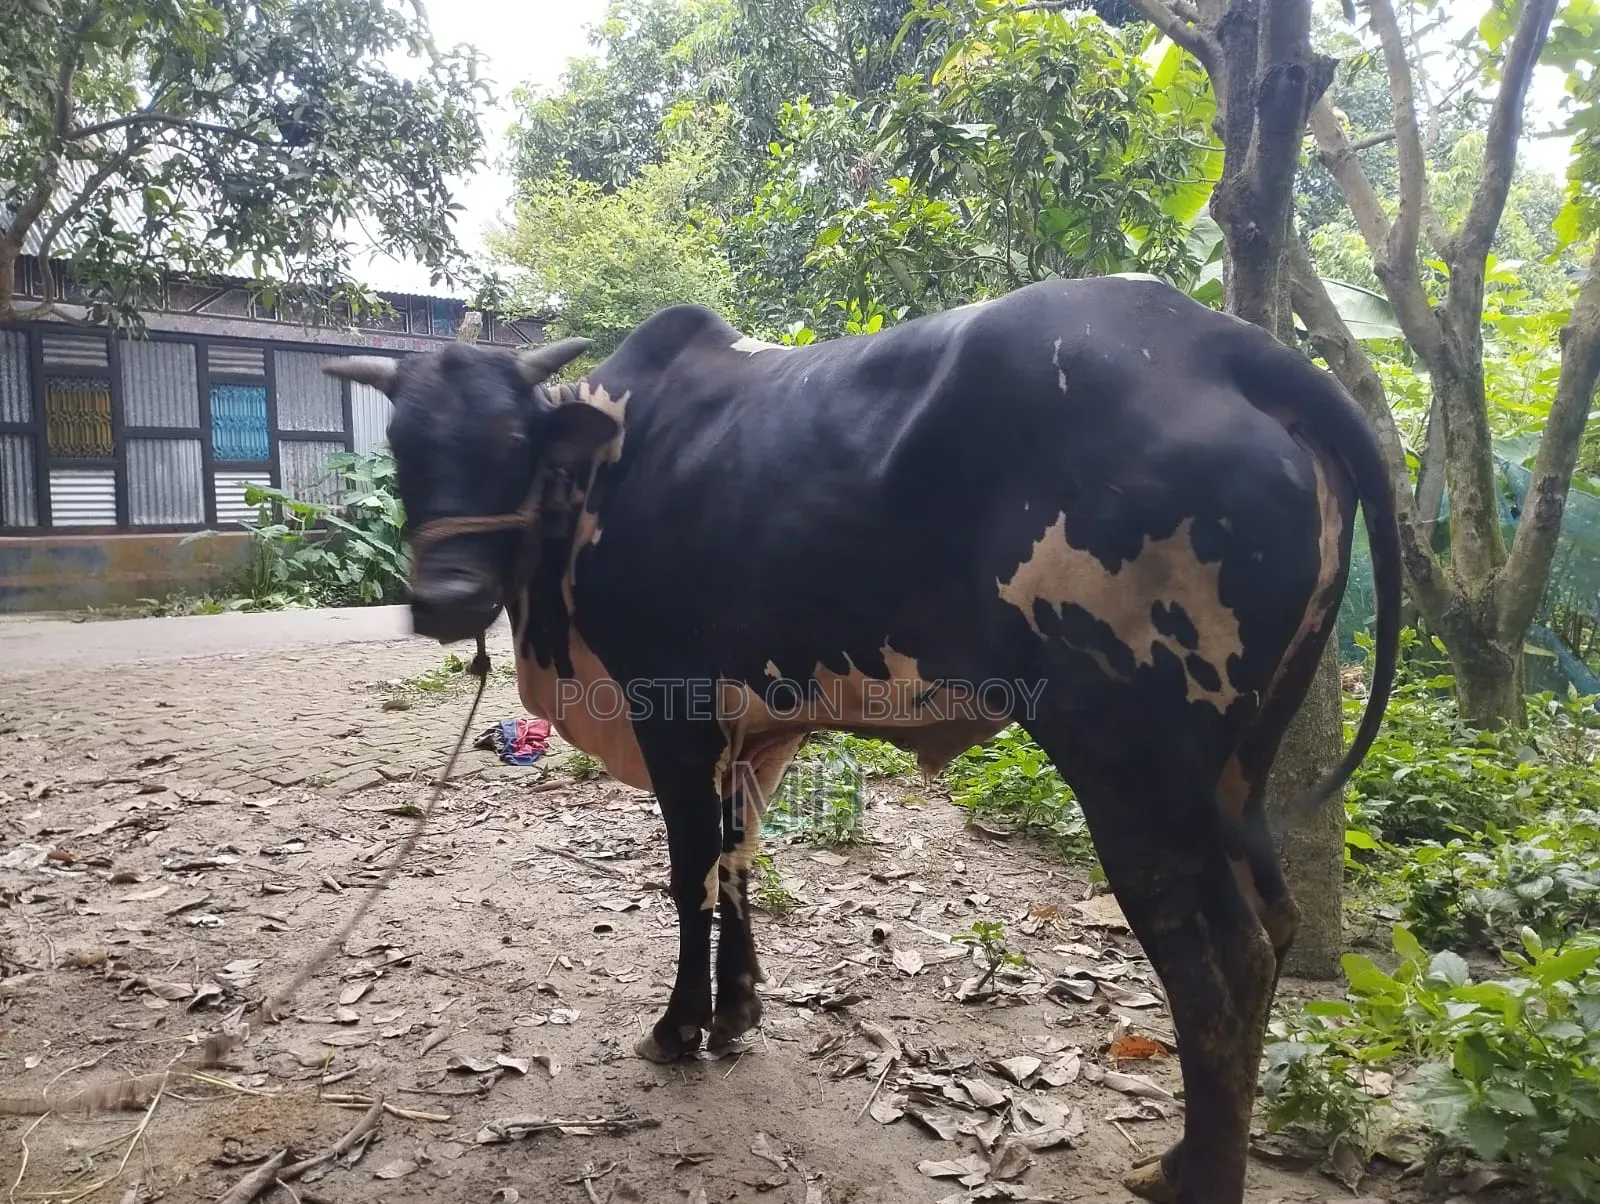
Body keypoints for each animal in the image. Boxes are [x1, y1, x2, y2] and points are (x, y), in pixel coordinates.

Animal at [324, 274, 1400, 1204]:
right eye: (404, 447)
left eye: (512, 439)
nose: (446, 598)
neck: (595, 478)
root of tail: (1226, 343)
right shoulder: (753, 729)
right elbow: (739, 862)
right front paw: (736, 1012)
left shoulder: (672, 711)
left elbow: (689, 874)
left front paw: (679, 1027)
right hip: (1236, 771)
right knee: (1274, 922)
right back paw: (1178, 1157)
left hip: (1132, 769)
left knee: (1223, 966)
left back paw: (1199, 1174)